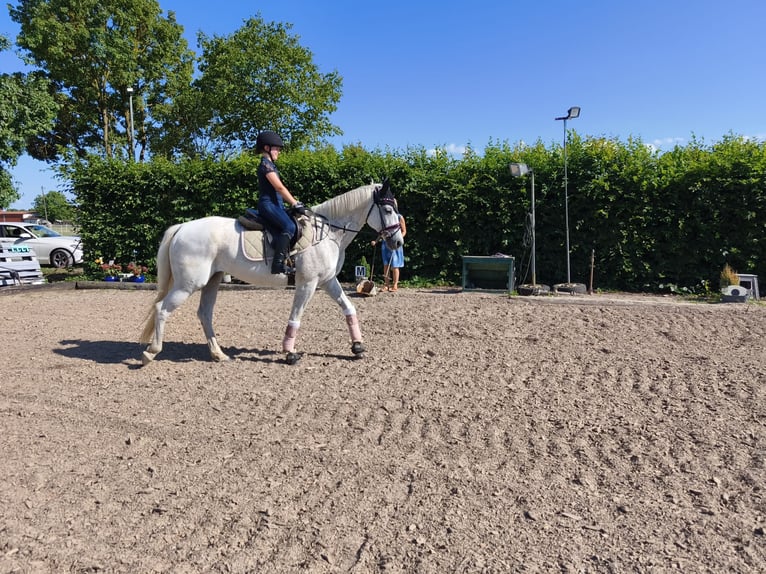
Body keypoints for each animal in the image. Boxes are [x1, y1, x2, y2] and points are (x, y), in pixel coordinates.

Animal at [139, 181, 404, 365]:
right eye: (387, 209)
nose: (398, 242)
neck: (328, 232)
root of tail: (182, 227)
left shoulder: (328, 281)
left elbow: (349, 308)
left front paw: (357, 347)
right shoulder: (307, 283)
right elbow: (296, 316)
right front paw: (289, 353)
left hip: (211, 281)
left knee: (204, 313)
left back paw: (218, 354)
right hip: (188, 284)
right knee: (162, 309)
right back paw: (150, 353)